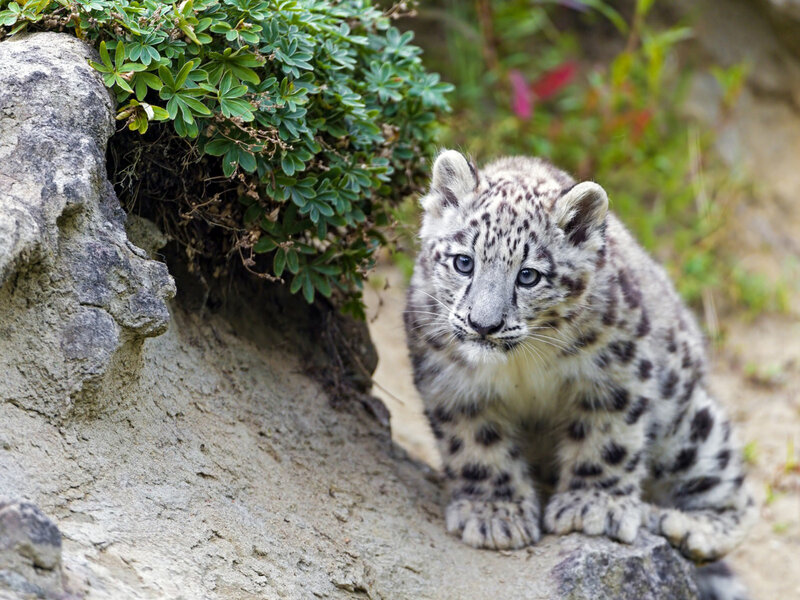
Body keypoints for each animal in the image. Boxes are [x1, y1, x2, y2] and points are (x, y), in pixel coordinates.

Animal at [404, 150, 756, 600]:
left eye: (528, 275)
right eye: (463, 262)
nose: (484, 325)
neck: (520, 365)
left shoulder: (616, 371)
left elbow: (607, 441)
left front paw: (593, 508)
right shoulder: (450, 381)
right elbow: (476, 446)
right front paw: (495, 514)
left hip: (691, 426)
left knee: (736, 492)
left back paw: (685, 526)